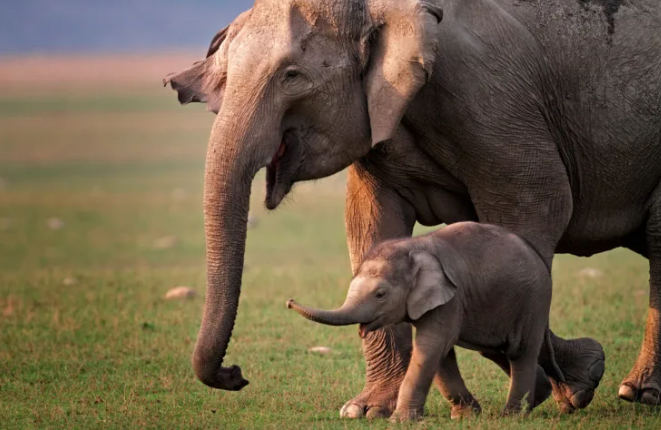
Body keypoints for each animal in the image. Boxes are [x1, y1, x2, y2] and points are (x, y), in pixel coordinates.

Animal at [287, 222, 567, 420]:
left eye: (380, 294)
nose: (289, 301)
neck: (414, 247)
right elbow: (441, 354)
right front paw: (465, 416)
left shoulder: (450, 298)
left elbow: (431, 346)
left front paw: (400, 421)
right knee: (494, 350)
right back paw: (539, 395)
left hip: (534, 300)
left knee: (519, 352)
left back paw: (511, 415)